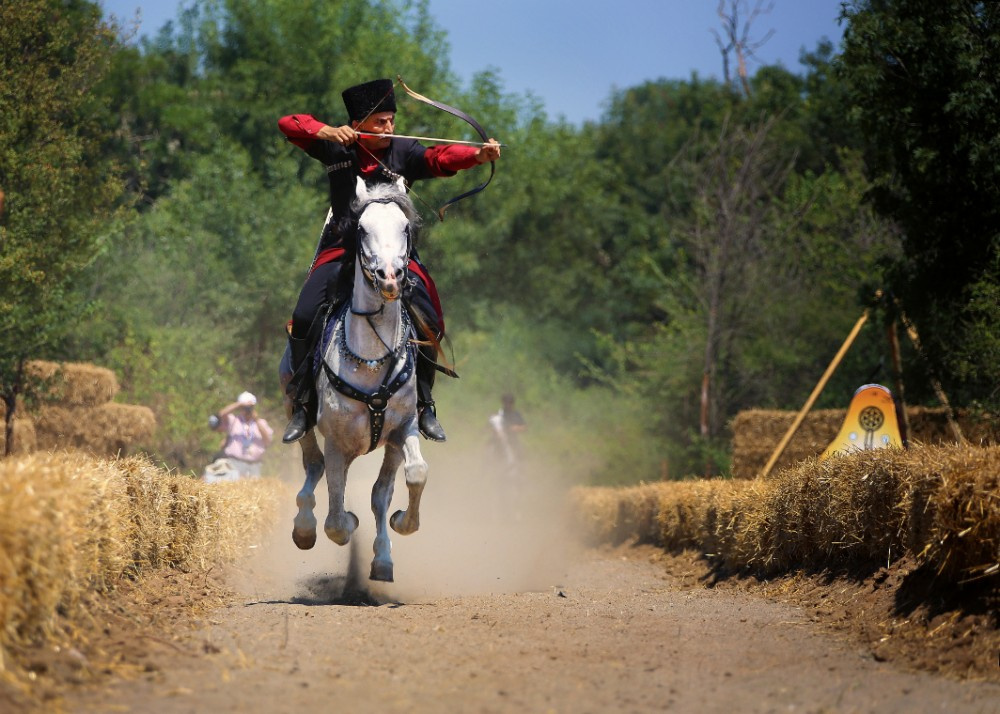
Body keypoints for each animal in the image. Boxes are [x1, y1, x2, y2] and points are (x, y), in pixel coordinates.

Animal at [278, 177, 426, 580]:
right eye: (361, 229)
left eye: (405, 228)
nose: (390, 278)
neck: (370, 359)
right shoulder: (336, 441)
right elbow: (336, 520)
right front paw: (346, 523)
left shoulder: (402, 429)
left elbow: (410, 478)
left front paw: (401, 525)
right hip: (297, 410)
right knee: (313, 467)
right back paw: (303, 529)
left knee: (375, 492)